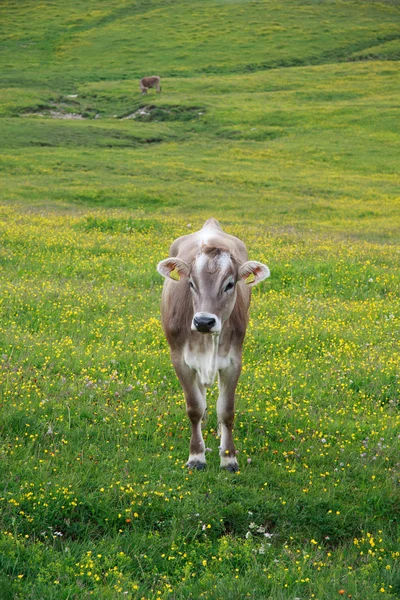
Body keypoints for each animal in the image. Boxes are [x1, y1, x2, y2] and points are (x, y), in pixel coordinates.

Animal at [158, 218, 270, 472]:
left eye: (229, 284)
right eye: (191, 283)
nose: (203, 321)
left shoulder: (233, 361)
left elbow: (226, 410)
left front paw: (228, 457)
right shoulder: (180, 360)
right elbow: (194, 407)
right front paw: (196, 456)